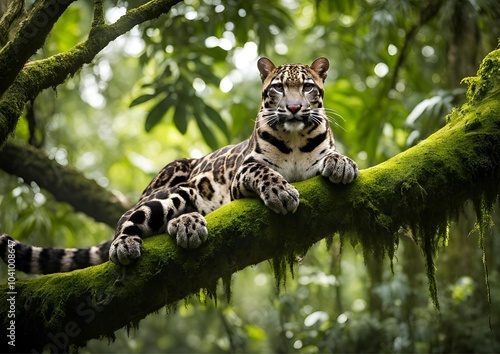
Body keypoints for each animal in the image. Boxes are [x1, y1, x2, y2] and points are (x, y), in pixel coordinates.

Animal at [0, 57, 360, 274]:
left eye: (308, 87)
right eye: (279, 88)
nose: (295, 108)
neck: (295, 139)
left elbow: (333, 155)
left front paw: (343, 164)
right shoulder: (243, 172)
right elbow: (265, 171)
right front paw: (282, 193)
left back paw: (186, 224)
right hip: (171, 188)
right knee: (127, 218)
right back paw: (131, 243)